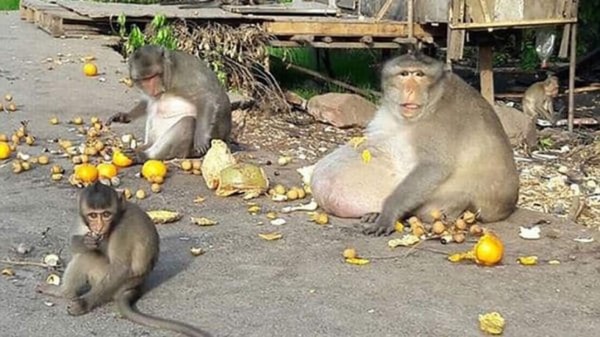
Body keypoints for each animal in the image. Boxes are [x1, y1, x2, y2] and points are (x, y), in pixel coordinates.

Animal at [35, 181, 213, 336]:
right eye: (93, 215)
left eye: (106, 214)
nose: (99, 226)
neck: (119, 215)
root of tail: (136, 287)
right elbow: (73, 243)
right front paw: (87, 241)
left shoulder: (122, 229)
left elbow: (120, 267)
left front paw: (83, 305)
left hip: (109, 283)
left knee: (87, 257)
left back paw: (65, 293)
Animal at [310, 51, 520, 236]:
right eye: (404, 74)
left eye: (419, 75)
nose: (409, 90)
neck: (432, 102)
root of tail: (509, 206)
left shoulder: (442, 122)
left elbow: (434, 167)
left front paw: (389, 212)